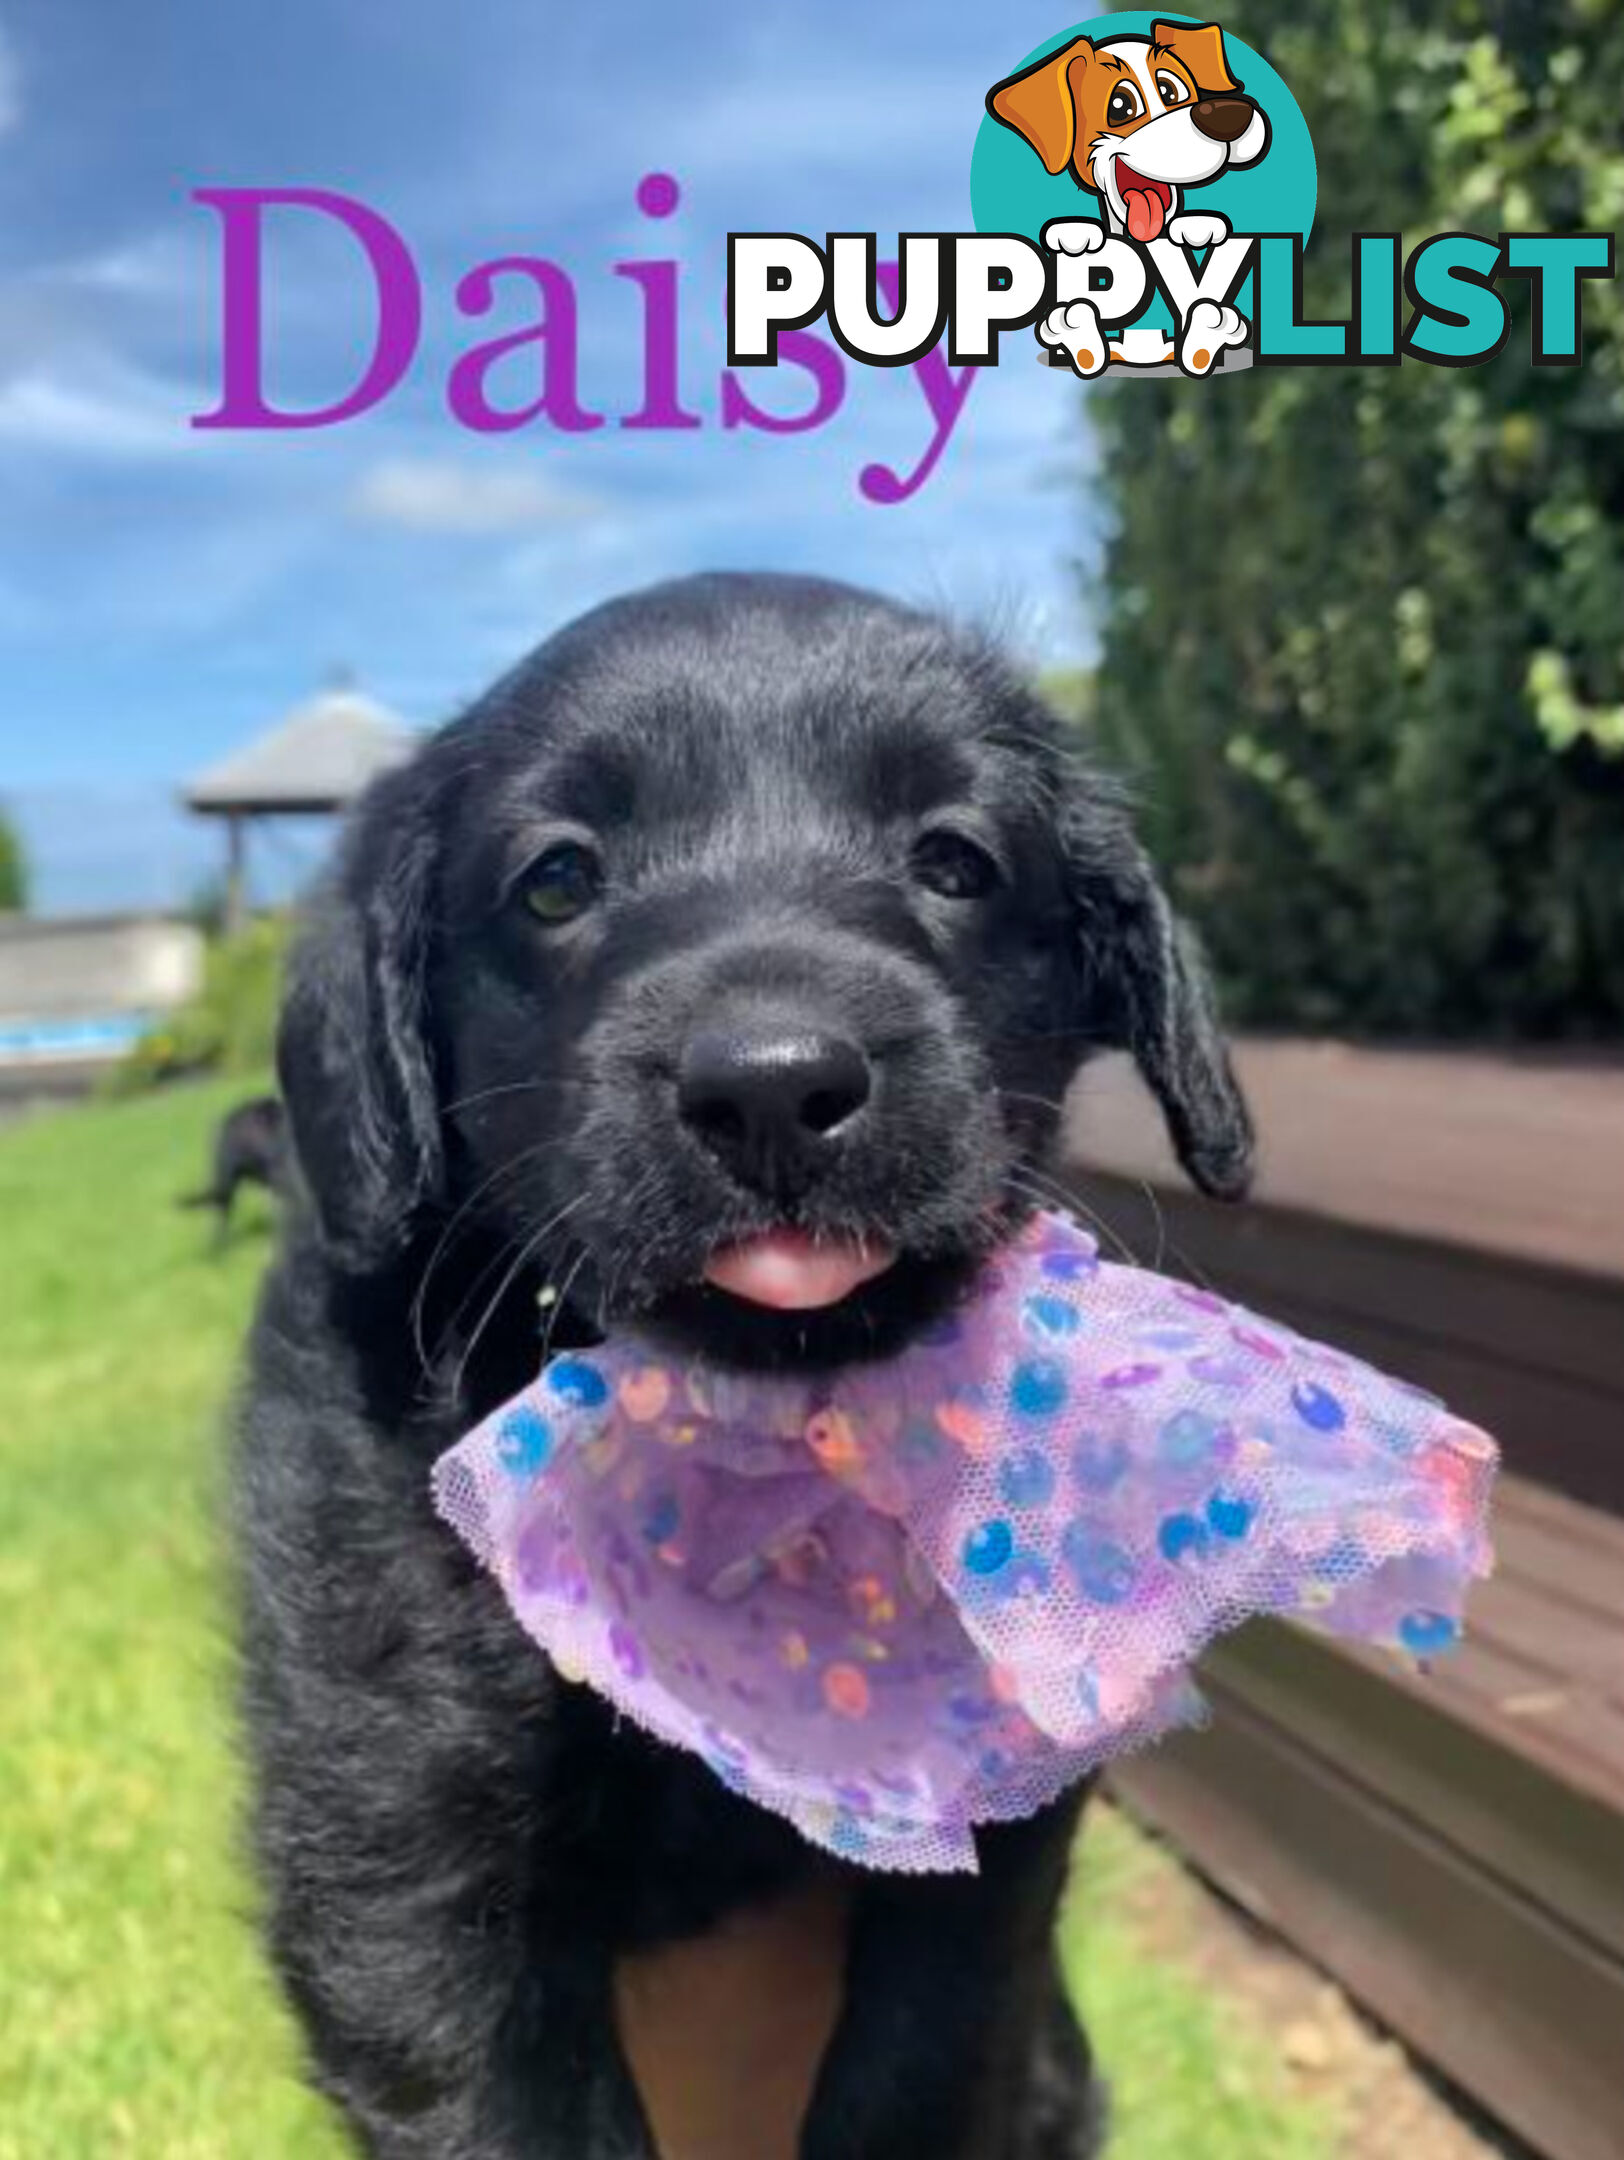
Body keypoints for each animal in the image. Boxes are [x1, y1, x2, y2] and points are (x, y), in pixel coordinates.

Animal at [237, 574, 1252, 2160]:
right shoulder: (396, 1842)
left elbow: (921, 2061)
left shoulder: (985, 1843)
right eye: (556, 880)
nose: (772, 1085)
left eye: (954, 860)